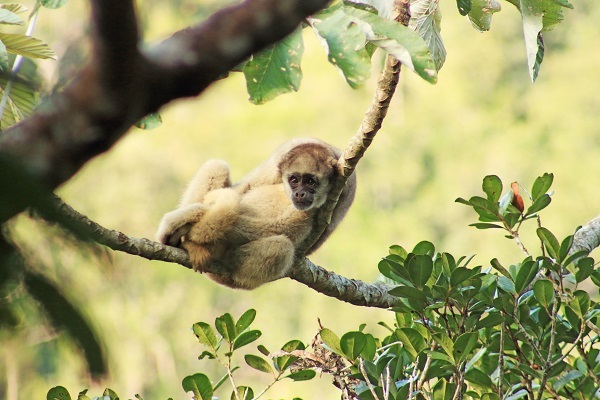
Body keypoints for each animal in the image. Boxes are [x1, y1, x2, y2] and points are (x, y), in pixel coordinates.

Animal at [156, 138, 356, 288]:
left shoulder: (342, 188)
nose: (300, 193)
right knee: (218, 167)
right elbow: (245, 187)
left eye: (311, 182)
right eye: (294, 180)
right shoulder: (282, 155)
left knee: (281, 247)